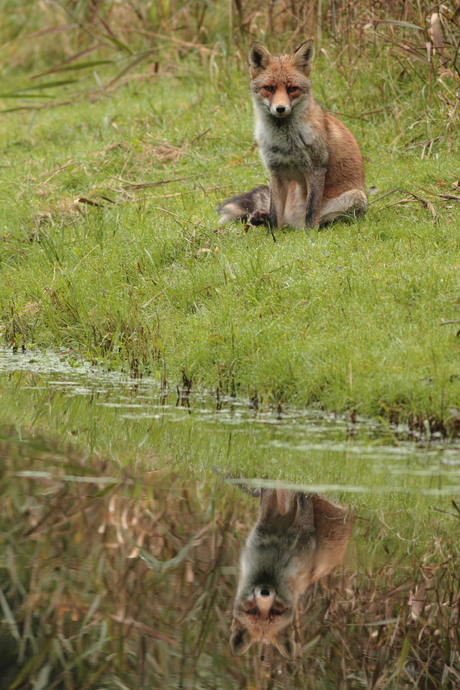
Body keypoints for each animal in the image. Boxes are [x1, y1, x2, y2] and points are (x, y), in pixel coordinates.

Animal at [218, 40, 366, 228]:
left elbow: (311, 211)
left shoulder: (316, 169)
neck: (284, 142)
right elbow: (275, 214)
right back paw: (261, 218)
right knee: (280, 218)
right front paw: (274, 234)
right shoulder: (275, 170)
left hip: (355, 196)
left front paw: (311, 234)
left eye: (292, 89)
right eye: (269, 88)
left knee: (321, 219)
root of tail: (295, 223)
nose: (280, 108)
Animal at [230, 486, 352, 660]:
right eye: (252, 611)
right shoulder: (267, 526)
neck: (270, 569)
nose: (265, 592)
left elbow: (297, 501)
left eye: (275, 611)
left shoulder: (300, 531)